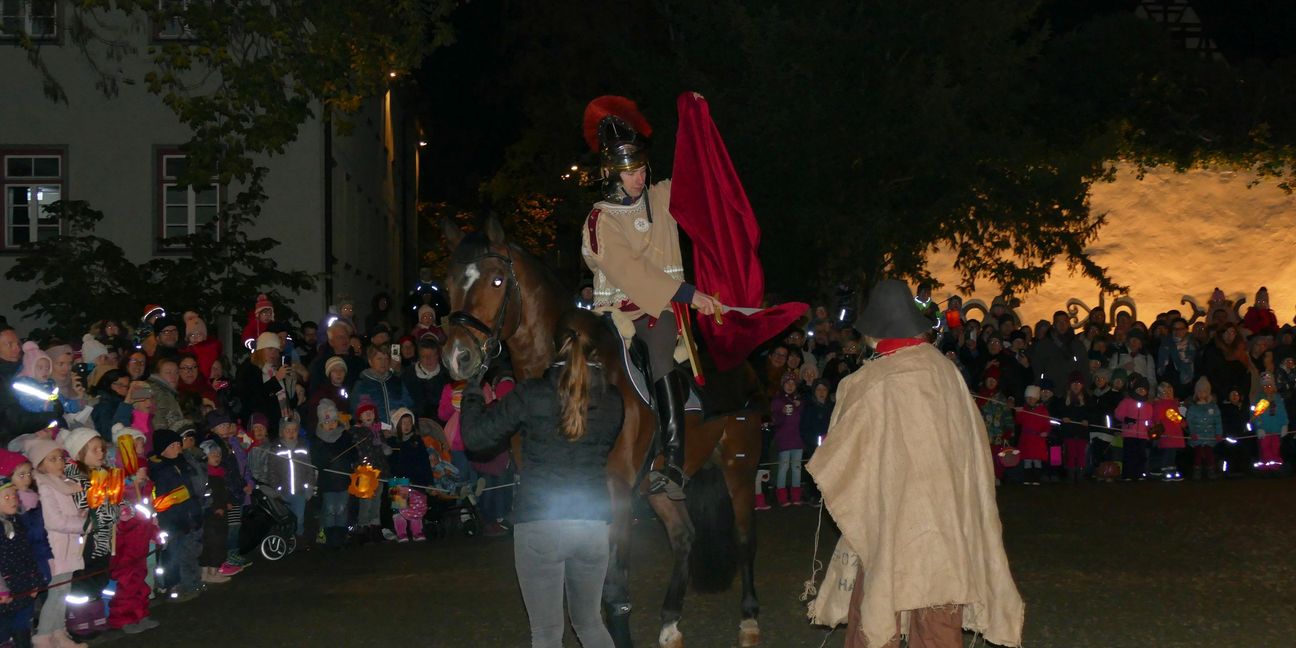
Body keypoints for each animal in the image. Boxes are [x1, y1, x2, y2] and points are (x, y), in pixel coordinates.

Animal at [440, 217, 762, 648]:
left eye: (496, 280)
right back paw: (670, 622)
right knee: (684, 536)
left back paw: (749, 619)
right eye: (449, 283)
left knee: (744, 538)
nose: (458, 357)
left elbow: (615, 590)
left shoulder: (616, 496)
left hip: (738, 468)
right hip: (657, 486)